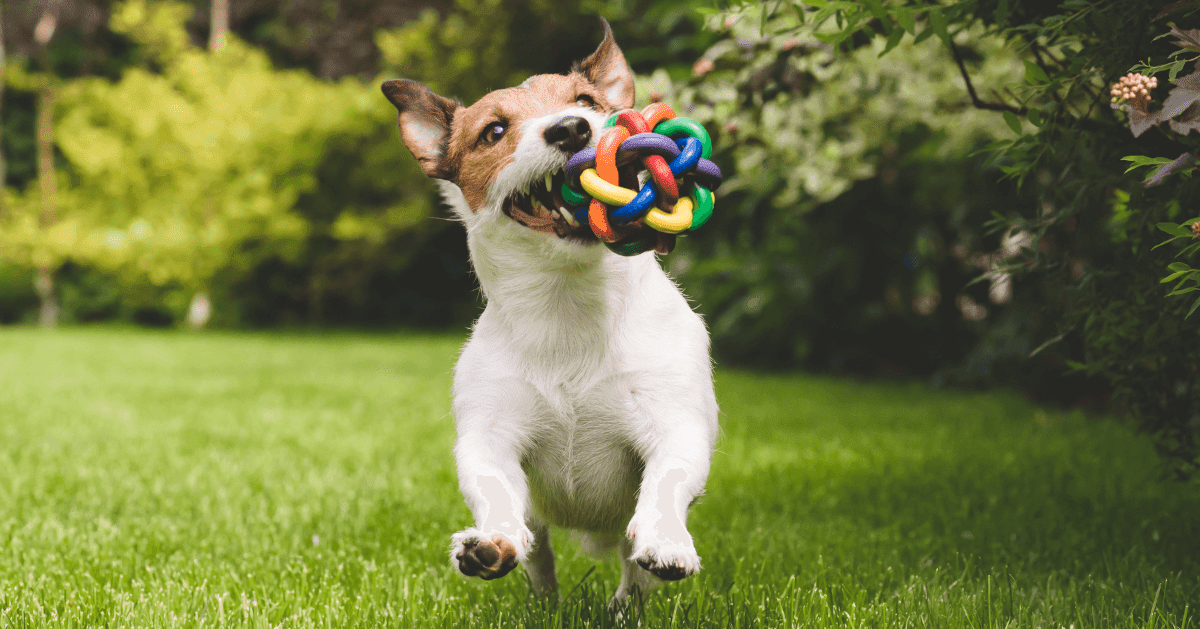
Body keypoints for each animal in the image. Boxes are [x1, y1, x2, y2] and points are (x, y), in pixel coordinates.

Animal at [384, 19, 715, 604]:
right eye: (493, 131)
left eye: (586, 102)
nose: (570, 129)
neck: (568, 303)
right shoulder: (491, 435)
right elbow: (493, 487)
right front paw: (491, 542)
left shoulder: (674, 422)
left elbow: (668, 481)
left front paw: (666, 540)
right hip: (538, 524)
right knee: (538, 549)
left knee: (632, 571)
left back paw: (626, 603)